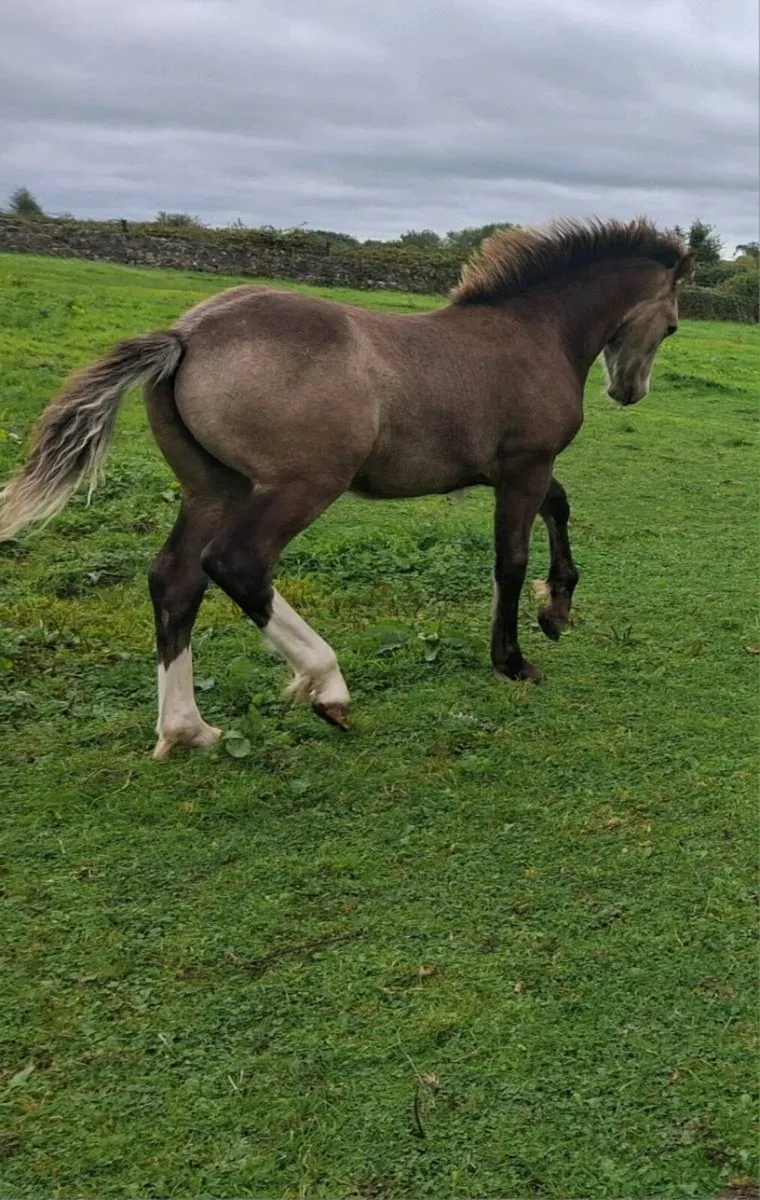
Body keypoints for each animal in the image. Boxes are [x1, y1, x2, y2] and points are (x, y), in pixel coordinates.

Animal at [0, 217, 694, 761]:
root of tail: (186, 335)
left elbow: (560, 507)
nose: (628, 391)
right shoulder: (525, 465)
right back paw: (326, 685)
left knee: (175, 579)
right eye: (673, 326)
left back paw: (186, 729)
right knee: (237, 564)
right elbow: (511, 560)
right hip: (302, 484)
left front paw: (556, 610)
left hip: (213, 488)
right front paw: (514, 659)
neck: (531, 330)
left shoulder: (518, 468)